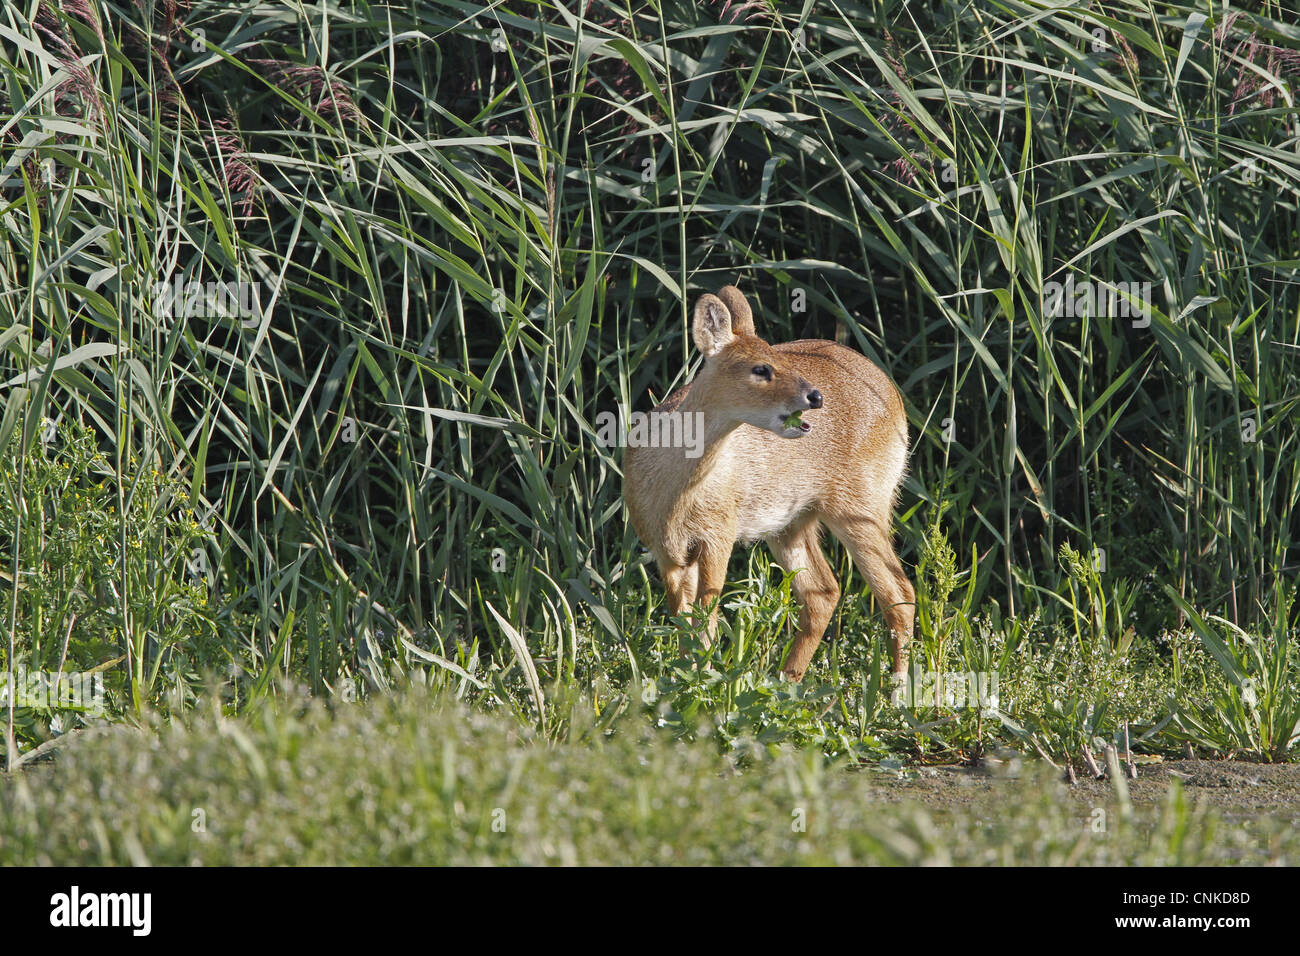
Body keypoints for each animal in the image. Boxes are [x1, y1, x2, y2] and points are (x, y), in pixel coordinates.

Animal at [626, 283, 915, 681]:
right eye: (760, 368)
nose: (814, 396)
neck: (672, 493)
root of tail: (892, 393)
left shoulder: (718, 535)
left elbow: (706, 619)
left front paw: (703, 682)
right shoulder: (665, 550)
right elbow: (685, 624)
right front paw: (686, 679)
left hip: (861, 508)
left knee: (899, 593)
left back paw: (896, 689)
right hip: (792, 523)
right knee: (825, 593)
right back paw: (786, 682)